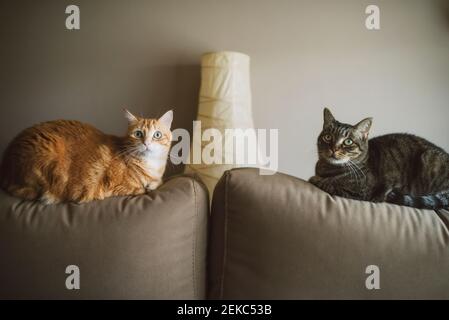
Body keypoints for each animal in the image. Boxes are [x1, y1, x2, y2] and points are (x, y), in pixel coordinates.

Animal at [0, 109, 173, 204]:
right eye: (138, 134)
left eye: (157, 135)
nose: (146, 143)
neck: (151, 167)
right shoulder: (118, 188)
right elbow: (142, 189)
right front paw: (149, 186)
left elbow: (158, 183)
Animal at [308, 109, 448, 210]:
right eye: (327, 137)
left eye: (348, 141)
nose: (334, 148)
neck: (328, 169)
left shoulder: (361, 191)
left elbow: (330, 183)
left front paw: (316, 179)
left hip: (429, 158)